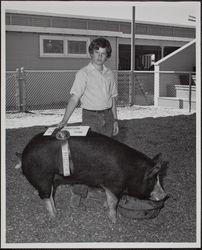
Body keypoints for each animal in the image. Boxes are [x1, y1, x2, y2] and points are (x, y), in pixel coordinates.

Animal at [17, 131, 167, 223]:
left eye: (159, 178)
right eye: (152, 179)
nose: (165, 195)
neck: (132, 172)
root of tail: (24, 153)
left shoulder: (108, 186)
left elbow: (108, 199)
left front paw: (104, 206)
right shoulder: (115, 185)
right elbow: (113, 203)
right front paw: (114, 220)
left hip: (52, 178)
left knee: (49, 194)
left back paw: (56, 211)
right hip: (42, 177)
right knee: (46, 196)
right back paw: (54, 216)